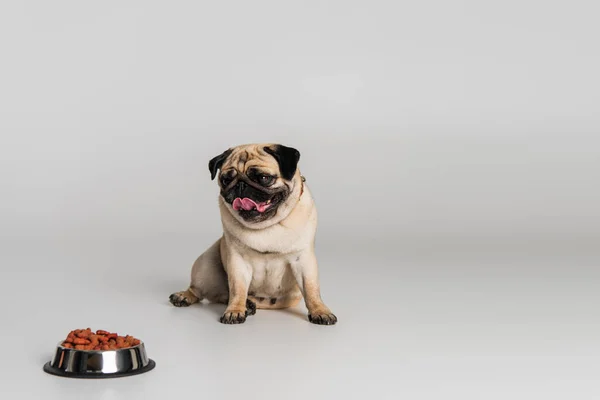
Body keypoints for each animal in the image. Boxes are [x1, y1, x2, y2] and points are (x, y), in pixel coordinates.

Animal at [169, 144, 338, 324]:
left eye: (263, 178)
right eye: (226, 180)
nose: (241, 185)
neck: (267, 225)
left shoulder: (303, 260)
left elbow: (311, 288)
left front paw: (320, 311)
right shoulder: (238, 262)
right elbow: (237, 289)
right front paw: (235, 310)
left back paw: (250, 304)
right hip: (205, 265)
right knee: (203, 291)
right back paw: (185, 296)